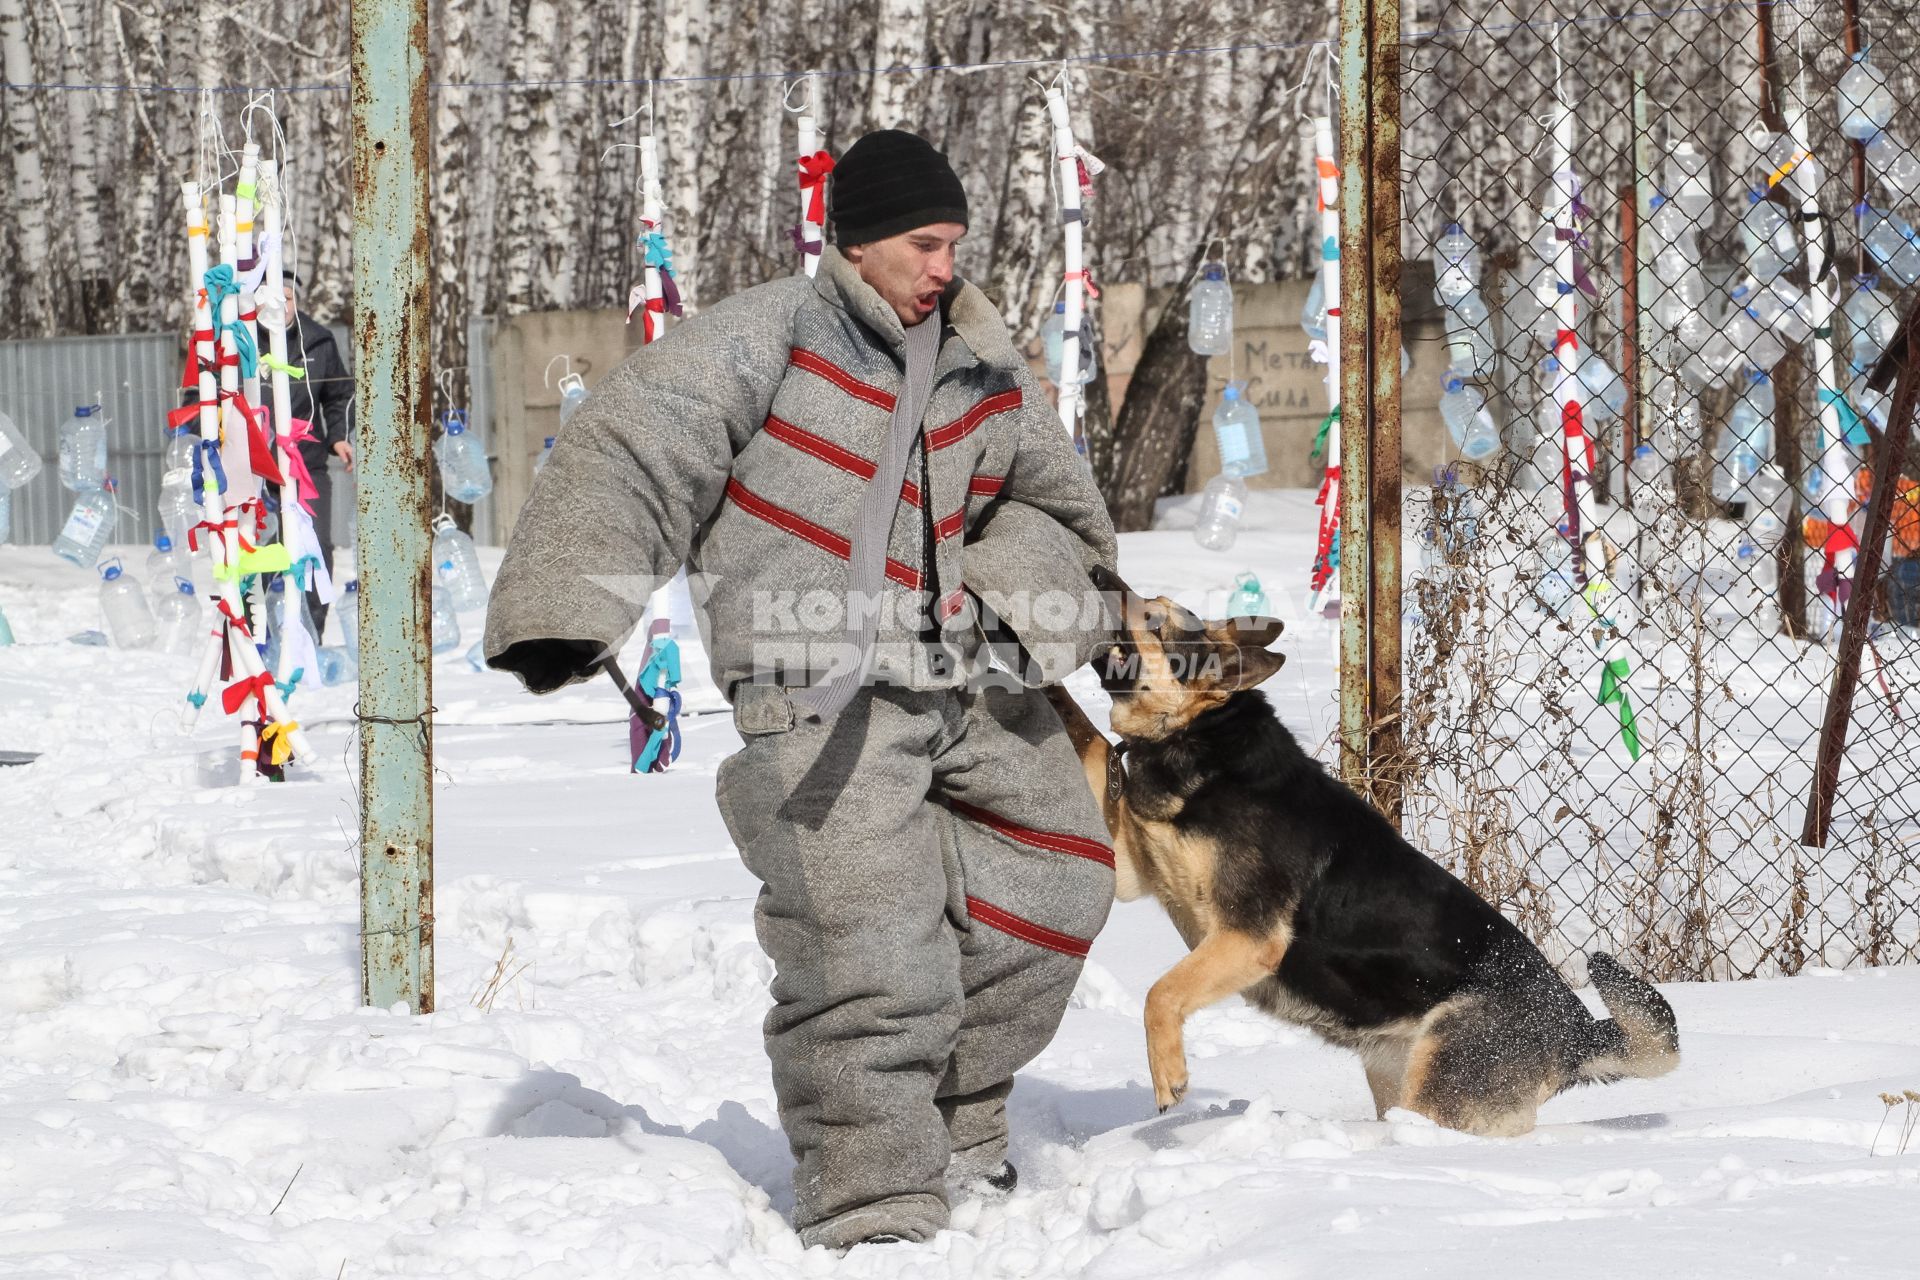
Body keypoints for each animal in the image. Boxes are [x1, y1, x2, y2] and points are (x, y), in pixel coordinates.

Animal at [1052, 564, 1681, 1136]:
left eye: (1154, 621)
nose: (1097, 570)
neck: (1196, 738)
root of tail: (1578, 1030)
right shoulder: (1130, 869)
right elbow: (1090, 738)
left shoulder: (1249, 938)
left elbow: (1160, 993)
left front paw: (1169, 1076)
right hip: (1395, 1074)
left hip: (1438, 1088)